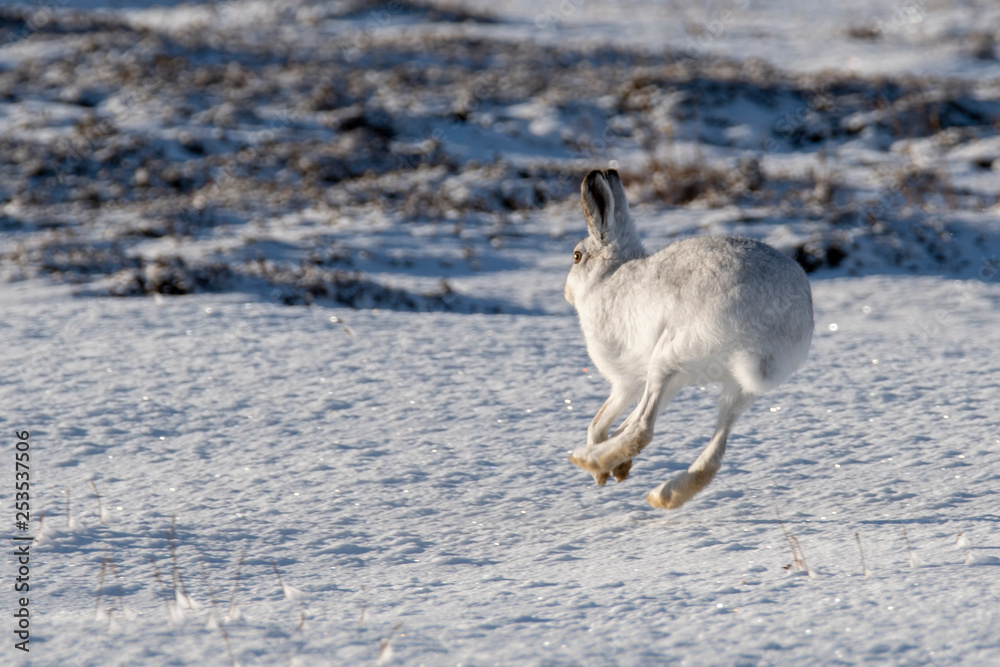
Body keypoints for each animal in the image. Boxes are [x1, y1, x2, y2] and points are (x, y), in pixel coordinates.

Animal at [565, 169, 813, 509]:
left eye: (577, 256)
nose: (566, 292)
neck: (608, 277)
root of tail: (770, 321)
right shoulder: (658, 383)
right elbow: (610, 421)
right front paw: (618, 470)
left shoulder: (626, 379)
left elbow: (600, 421)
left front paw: (604, 472)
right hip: (734, 387)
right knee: (712, 456)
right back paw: (662, 495)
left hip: (669, 355)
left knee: (642, 430)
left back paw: (586, 459)